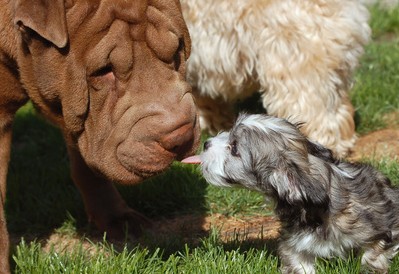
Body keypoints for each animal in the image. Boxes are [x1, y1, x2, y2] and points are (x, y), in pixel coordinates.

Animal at [184, 113, 399, 274]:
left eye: (235, 148)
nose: (206, 143)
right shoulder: (295, 244)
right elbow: (298, 263)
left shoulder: (382, 226)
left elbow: (373, 254)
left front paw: (371, 267)